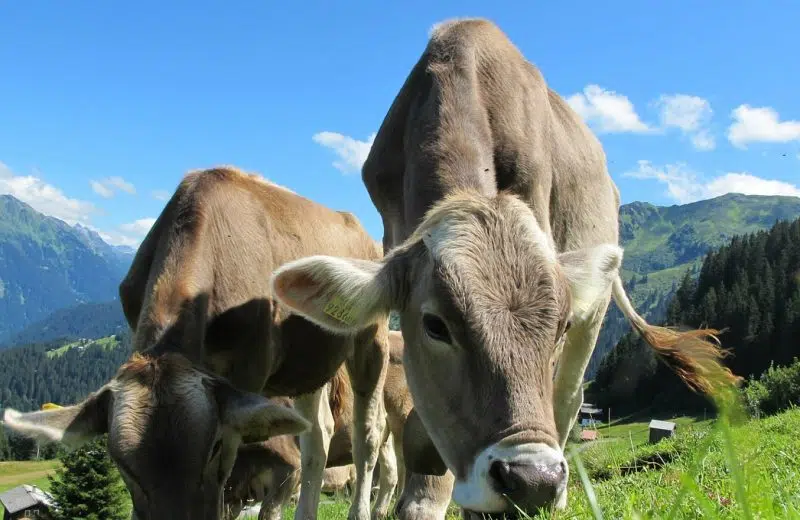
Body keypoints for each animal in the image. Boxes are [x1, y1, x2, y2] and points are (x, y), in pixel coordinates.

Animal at [2, 167, 390, 520]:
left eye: (214, 446)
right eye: (121, 464)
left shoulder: (248, 372)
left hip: (372, 338)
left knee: (367, 435)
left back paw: (362, 509)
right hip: (307, 365)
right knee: (317, 437)